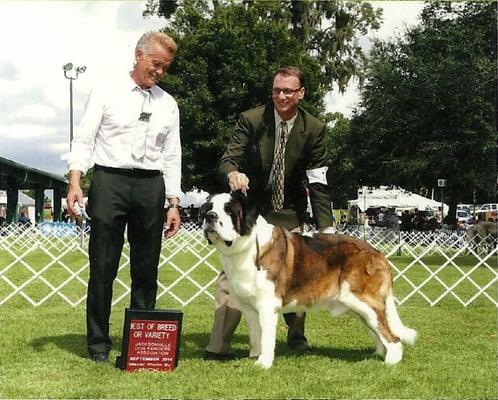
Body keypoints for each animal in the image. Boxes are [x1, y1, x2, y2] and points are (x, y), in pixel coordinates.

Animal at [199, 191, 416, 368]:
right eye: (209, 209)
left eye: (229, 211)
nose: (210, 217)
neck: (248, 246)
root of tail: (378, 253)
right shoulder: (249, 307)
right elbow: (256, 336)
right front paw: (254, 356)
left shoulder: (267, 305)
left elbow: (266, 338)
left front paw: (263, 364)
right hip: (359, 306)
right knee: (378, 330)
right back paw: (377, 354)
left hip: (363, 300)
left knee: (392, 336)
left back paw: (390, 361)